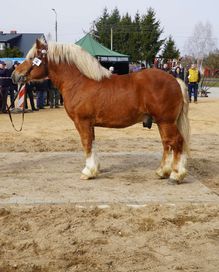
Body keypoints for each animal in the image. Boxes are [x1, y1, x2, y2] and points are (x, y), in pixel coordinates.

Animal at [12, 39, 190, 183]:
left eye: (31, 58)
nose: (14, 75)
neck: (78, 81)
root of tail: (175, 80)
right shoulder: (89, 124)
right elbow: (92, 142)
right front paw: (95, 168)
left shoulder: (82, 122)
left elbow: (86, 143)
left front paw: (88, 171)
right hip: (162, 122)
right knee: (167, 143)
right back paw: (162, 171)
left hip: (166, 122)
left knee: (177, 142)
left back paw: (176, 174)